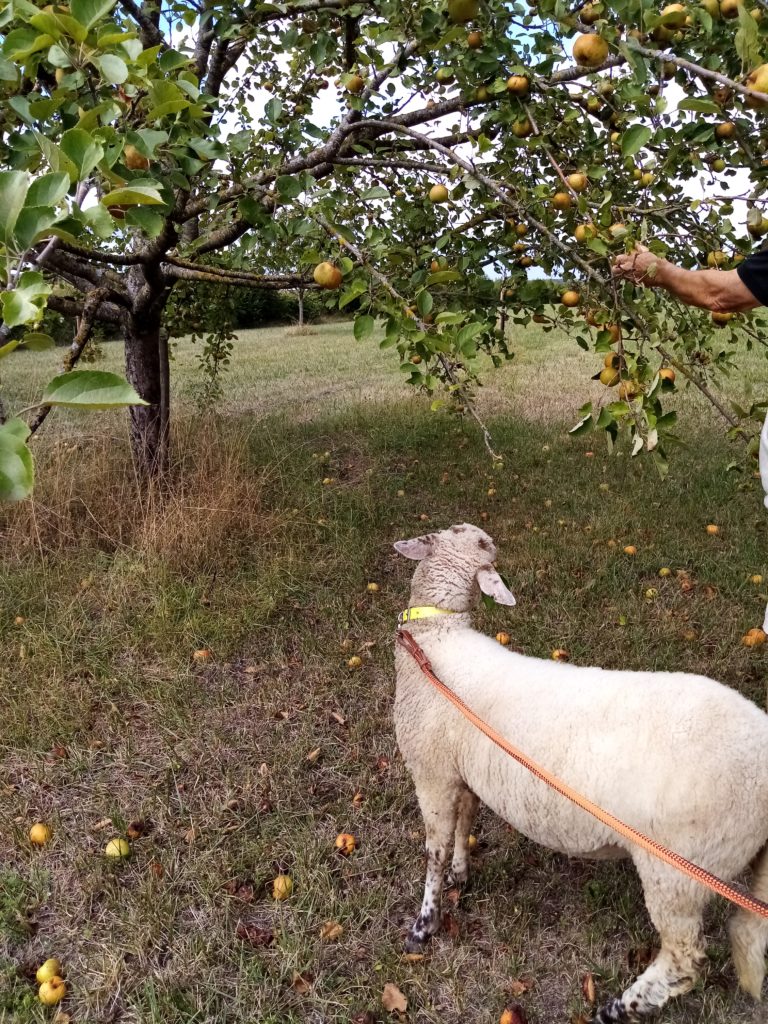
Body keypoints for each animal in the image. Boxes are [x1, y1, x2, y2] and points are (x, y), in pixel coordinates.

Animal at [397, 524, 768, 1019]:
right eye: (469, 538)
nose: (485, 536)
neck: (434, 636)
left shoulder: (431, 770)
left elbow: (433, 851)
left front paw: (424, 924)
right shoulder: (462, 771)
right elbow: (466, 823)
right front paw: (462, 871)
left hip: (679, 873)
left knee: (685, 960)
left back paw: (618, 1008)